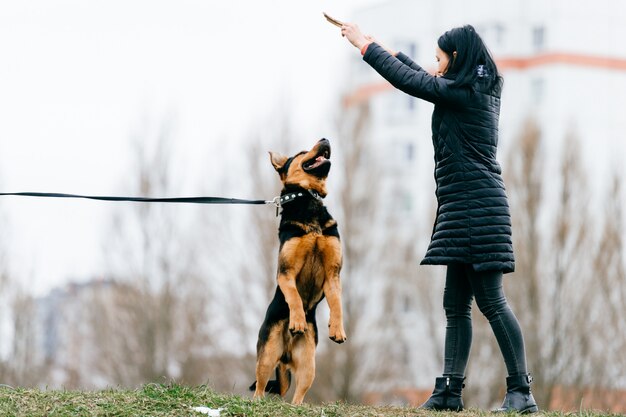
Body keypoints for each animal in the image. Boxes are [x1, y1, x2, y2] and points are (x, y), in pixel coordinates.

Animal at [249, 139, 346, 404]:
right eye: (302, 152)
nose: (325, 139)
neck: (309, 199)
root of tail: (285, 356)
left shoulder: (333, 275)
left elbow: (337, 304)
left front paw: (337, 329)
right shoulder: (286, 272)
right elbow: (293, 296)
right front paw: (298, 320)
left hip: (308, 364)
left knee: (298, 395)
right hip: (268, 354)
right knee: (260, 386)